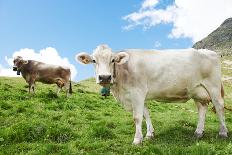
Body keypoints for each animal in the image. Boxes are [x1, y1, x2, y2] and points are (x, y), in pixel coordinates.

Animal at [75, 44, 227, 144]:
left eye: (113, 60)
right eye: (94, 60)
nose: (105, 77)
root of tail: (210, 52)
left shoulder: (137, 93)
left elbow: (137, 117)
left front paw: (137, 139)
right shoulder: (141, 95)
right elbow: (146, 114)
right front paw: (149, 134)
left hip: (213, 87)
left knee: (219, 107)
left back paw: (223, 132)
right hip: (197, 91)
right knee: (202, 109)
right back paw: (198, 132)